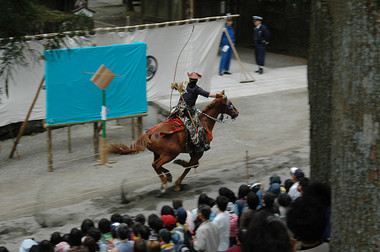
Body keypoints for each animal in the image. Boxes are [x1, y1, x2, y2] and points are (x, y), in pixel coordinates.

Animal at [109, 91, 238, 193]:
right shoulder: (200, 151)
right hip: (170, 153)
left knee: (155, 164)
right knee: (157, 165)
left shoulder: (193, 151)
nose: (236, 113)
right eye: (230, 104)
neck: (204, 122)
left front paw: (180, 163)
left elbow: (193, 164)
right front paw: (177, 184)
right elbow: (191, 165)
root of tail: (149, 133)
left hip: (158, 153)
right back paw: (164, 183)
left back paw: (168, 176)